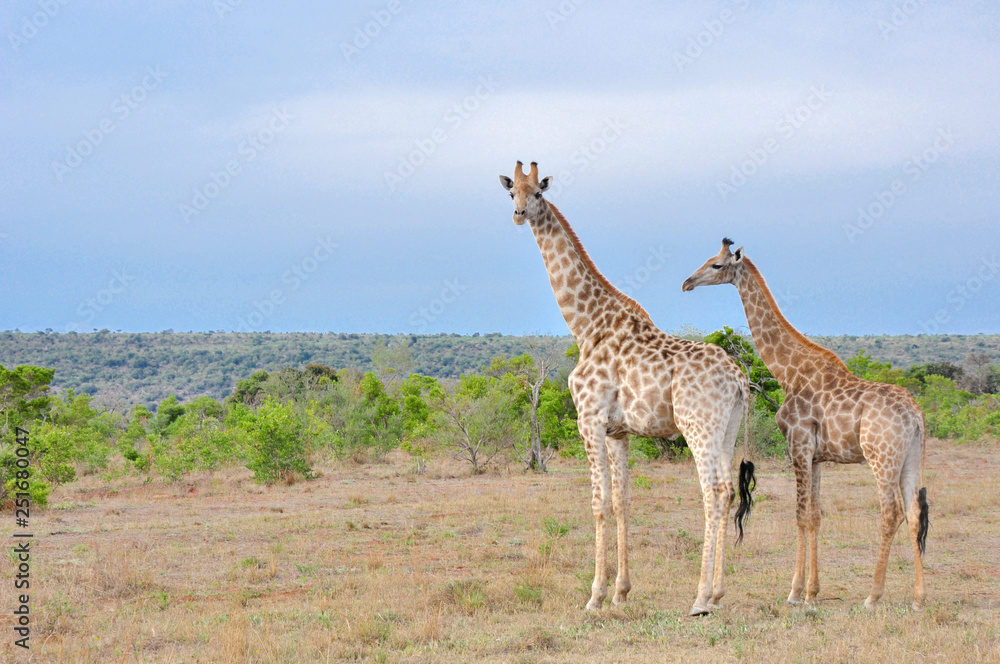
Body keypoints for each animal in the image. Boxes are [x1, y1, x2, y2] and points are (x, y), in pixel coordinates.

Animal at [499, 162, 754, 616]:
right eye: (512, 192)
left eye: (539, 193)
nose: (518, 214)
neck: (587, 326)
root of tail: (740, 379)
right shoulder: (618, 431)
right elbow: (622, 502)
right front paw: (621, 591)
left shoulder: (589, 419)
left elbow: (598, 503)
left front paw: (595, 595)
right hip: (726, 430)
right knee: (726, 493)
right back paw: (717, 592)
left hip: (698, 428)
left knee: (713, 490)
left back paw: (700, 598)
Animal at [682, 239, 929, 610]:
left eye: (715, 265)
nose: (687, 283)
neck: (789, 372)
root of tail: (915, 417)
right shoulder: (816, 457)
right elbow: (815, 515)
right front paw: (813, 590)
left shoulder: (797, 446)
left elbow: (800, 515)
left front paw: (795, 592)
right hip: (911, 458)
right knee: (914, 514)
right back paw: (918, 597)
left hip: (881, 458)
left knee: (890, 514)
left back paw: (873, 596)